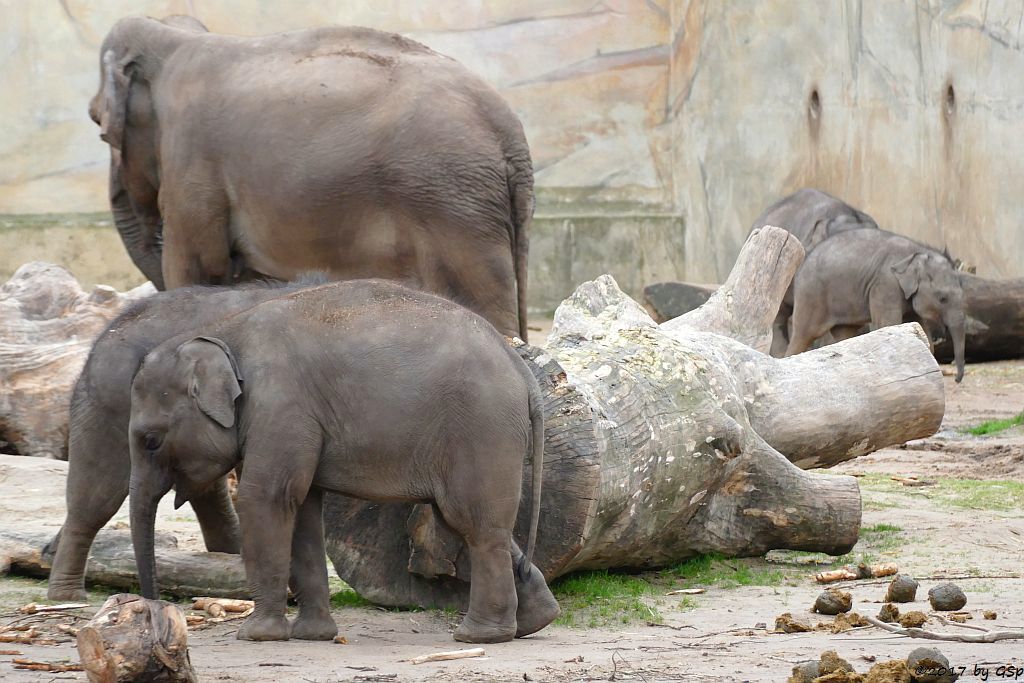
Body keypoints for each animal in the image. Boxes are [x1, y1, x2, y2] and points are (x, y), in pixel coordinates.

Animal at [91, 15, 532, 335]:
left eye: (97, 122)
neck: (174, 39)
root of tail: (509, 132)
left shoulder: (191, 159)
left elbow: (194, 266)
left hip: (452, 203)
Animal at [130, 278, 561, 643]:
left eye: (150, 441)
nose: (155, 611)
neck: (224, 333)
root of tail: (521, 367)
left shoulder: (282, 407)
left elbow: (266, 499)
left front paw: (256, 636)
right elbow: (302, 509)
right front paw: (312, 636)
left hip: (481, 429)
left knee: (473, 523)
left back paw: (478, 637)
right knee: (463, 521)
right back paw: (534, 622)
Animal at [786, 228, 962, 378]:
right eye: (943, 298)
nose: (957, 378)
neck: (917, 251)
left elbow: (921, 330)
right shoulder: (885, 285)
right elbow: (887, 324)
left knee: (845, 333)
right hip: (811, 295)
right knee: (803, 334)